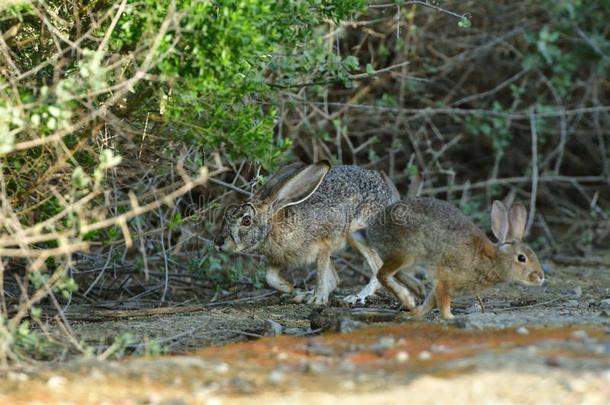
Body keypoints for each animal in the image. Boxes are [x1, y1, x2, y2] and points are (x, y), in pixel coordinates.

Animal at [214, 160, 422, 304]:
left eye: (246, 220)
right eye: (229, 214)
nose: (219, 242)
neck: (274, 228)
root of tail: (391, 196)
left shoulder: (323, 245)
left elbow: (321, 274)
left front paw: (317, 299)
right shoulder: (278, 260)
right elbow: (270, 278)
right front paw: (292, 289)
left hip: (356, 232)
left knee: (377, 269)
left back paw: (355, 297)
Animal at [354, 197, 544, 318]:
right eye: (522, 258)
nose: (541, 277)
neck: (493, 260)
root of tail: (371, 231)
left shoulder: (441, 283)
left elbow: (431, 302)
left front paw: (415, 314)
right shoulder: (445, 279)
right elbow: (443, 302)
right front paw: (451, 318)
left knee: (392, 272)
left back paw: (416, 290)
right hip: (406, 252)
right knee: (383, 274)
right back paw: (406, 297)